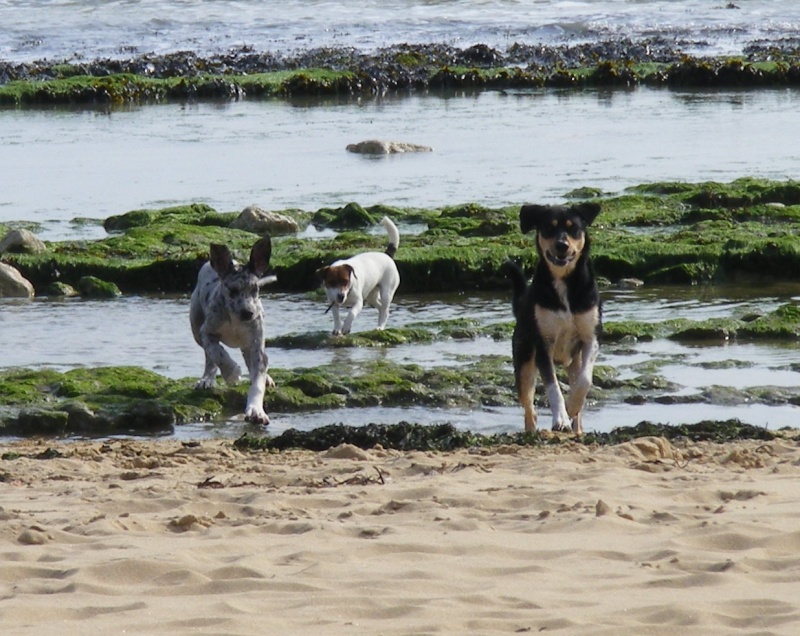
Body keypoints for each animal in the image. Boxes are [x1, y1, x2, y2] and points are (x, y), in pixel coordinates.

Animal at [190, 236, 276, 424]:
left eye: (255, 289)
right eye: (232, 290)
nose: (248, 312)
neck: (236, 321)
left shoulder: (256, 345)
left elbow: (257, 381)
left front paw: (256, 411)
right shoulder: (207, 332)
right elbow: (218, 353)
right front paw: (232, 373)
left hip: (248, 345)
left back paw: (267, 377)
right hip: (196, 326)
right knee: (209, 357)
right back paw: (207, 379)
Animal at [510, 201, 604, 434]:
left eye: (573, 228)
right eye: (548, 228)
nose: (562, 245)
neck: (563, 282)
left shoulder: (591, 338)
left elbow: (585, 380)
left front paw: (572, 406)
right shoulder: (543, 344)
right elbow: (553, 387)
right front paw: (560, 419)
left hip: (573, 360)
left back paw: (577, 428)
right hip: (524, 362)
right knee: (529, 409)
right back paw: (532, 431)